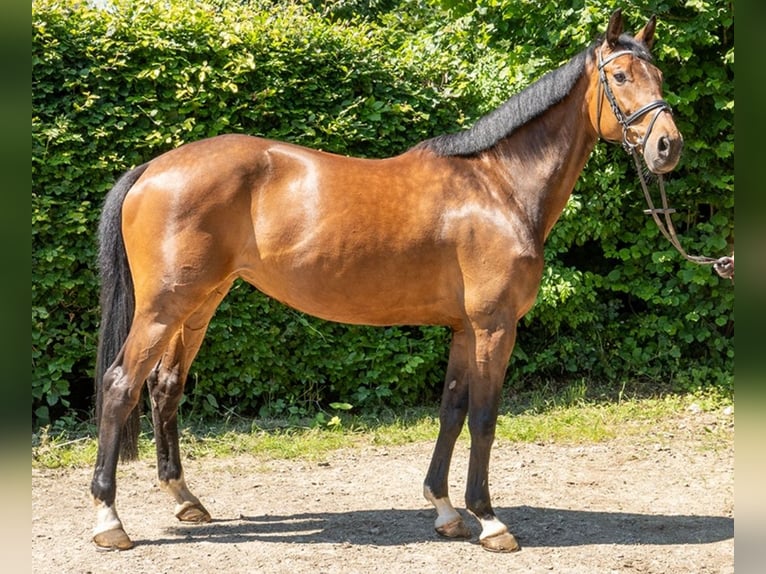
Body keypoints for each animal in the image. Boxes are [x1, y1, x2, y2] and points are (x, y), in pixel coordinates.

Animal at [90, 10, 684, 552]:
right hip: (164, 308)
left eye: (659, 75)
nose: (667, 146)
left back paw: (185, 500)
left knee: (165, 386)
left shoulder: (464, 329)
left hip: (198, 305)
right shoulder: (494, 327)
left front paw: (445, 510)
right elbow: (485, 417)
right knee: (120, 384)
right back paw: (109, 521)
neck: (498, 187)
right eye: (621, 75)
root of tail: (151, 169)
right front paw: (489, 520)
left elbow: (451, 410)